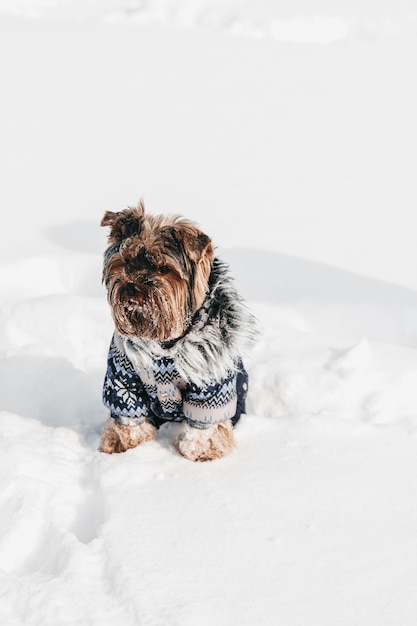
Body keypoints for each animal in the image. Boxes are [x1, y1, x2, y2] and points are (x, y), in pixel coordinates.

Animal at [99, 200, 255, 458]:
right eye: (126, 262)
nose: (132, 286)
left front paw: (200, 452)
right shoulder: (122, 374)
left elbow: (206, 422)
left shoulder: (210, 382)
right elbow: (128, 414)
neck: (164, 343)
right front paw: (125, 446)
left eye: (164, 269)